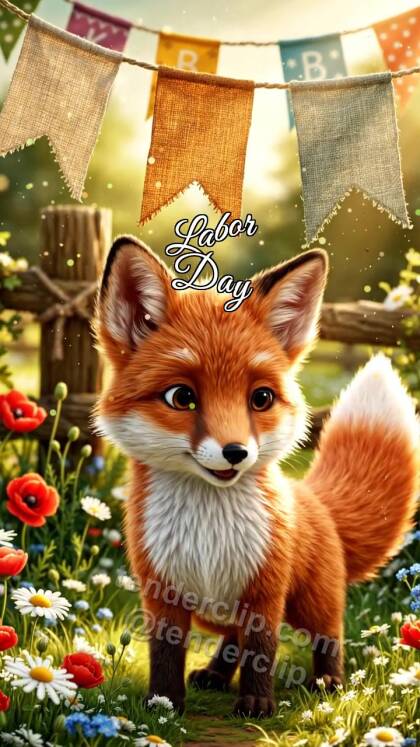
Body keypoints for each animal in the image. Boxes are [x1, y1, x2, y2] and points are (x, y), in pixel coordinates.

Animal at [95, 235, 419, 717]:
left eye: (261, 398)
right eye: (181, 397)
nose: (236, 453)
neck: (208, 536)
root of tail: (315, 500)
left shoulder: (266, 591)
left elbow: (262, 650)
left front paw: (257, 704)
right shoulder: (162, 593)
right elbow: (166, 652)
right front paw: (164, 703)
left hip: (311, 605)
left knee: (328, 637)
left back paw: (329, 683)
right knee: (231, 639)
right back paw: (213, 675)